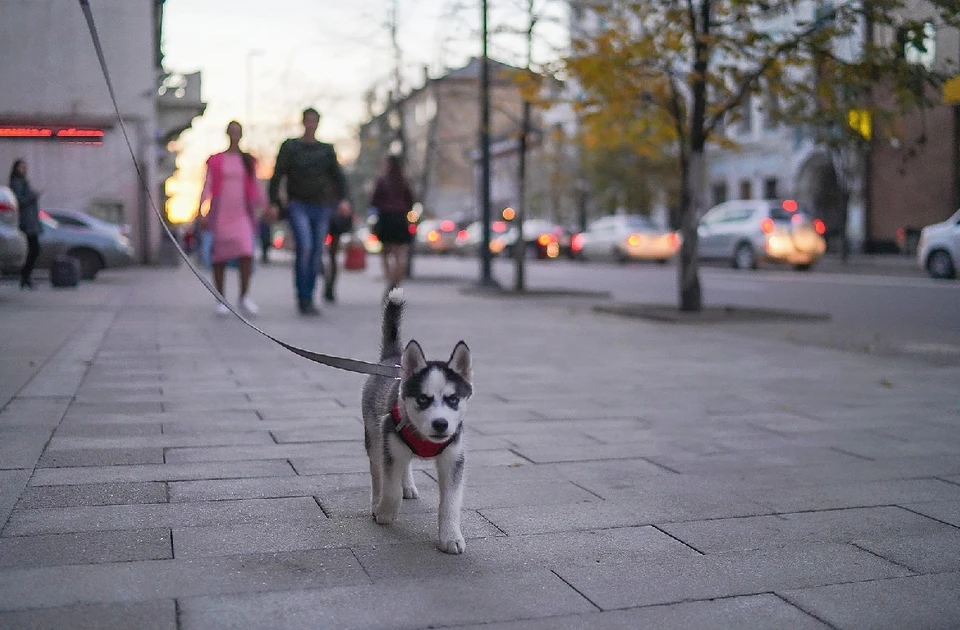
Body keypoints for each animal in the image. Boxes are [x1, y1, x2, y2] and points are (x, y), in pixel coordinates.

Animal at [360, 288, 472, 556]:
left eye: (453, 399)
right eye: (423, 399)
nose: (441, 424)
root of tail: (391, 358)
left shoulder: (453, 458)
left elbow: (451, 502)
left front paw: (451, 537)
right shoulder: (390, 444)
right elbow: (390, 488)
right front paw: (385, 512)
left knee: (405, 463)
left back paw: (407, 486)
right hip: (376, 436)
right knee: (377, 470)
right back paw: (376, 500)